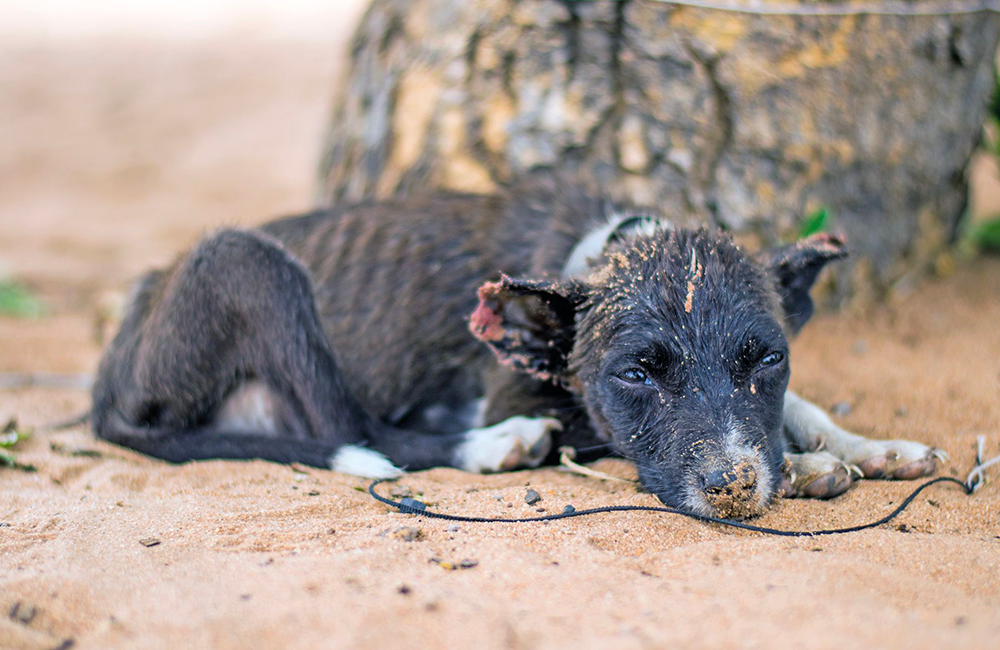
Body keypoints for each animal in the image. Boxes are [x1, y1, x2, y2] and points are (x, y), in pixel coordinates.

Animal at [90, 176, 940, 516]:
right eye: (636, 373)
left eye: (765, 359)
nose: (732, 485)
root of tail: (109, 375)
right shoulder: (531, 392)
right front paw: (804, 468)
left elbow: (800, 407)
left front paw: (872, 447)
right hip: (249, 261)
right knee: (355, 430)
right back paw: (494, 446)